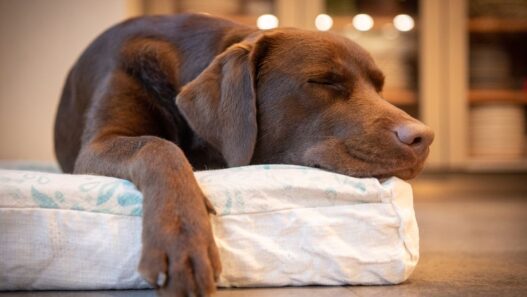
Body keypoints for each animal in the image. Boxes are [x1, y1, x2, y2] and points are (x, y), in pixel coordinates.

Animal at [53, 13, 436, 296]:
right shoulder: (97, 145)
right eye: (324, 81)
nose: (424, 136)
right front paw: (182, 237)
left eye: (379, 87)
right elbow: (159, 146)